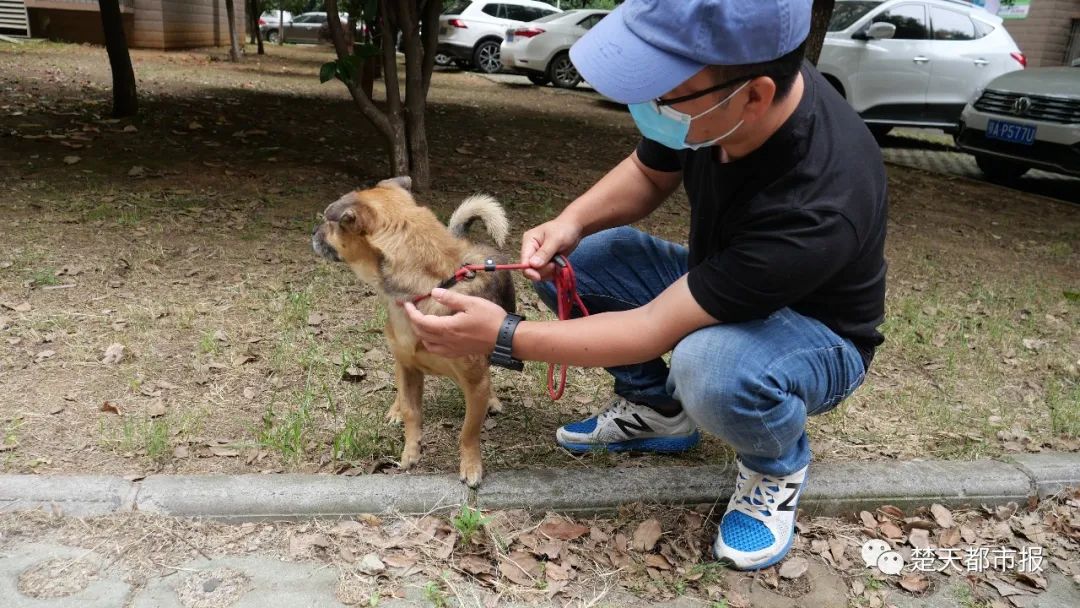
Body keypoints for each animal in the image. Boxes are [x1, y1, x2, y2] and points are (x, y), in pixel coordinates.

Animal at [311, 174, 516, 485]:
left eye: (332, 224)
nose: (313, 231)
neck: (426, 290)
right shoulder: (407, 367)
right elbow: (411, 412)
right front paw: (410, 451)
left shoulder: (474, 380)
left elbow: (469, 431)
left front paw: (470, 465)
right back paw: (395, 409)